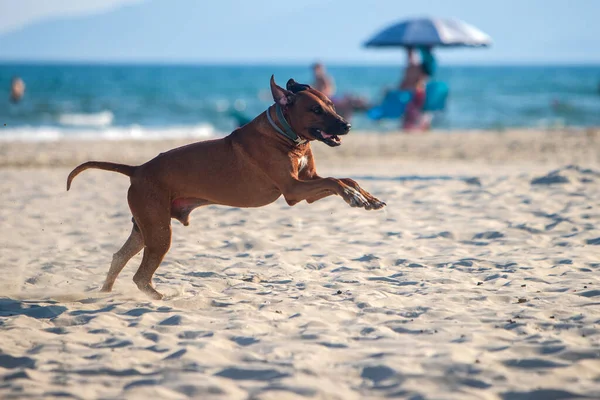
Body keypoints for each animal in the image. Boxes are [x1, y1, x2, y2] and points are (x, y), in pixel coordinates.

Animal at [65, 76, 384, 298]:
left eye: (332, 104)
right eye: (316, 109)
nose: (347, 125)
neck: (286, 134)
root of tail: (137, 169)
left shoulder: (307, 181)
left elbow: (346, 179)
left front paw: (367, 197)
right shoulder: (293, 190)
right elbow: (335, 181)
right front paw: (354, 197)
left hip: (146, 227)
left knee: (119, 256)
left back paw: (105, 292)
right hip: (158, 230)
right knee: (140, 276)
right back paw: (159, 297)